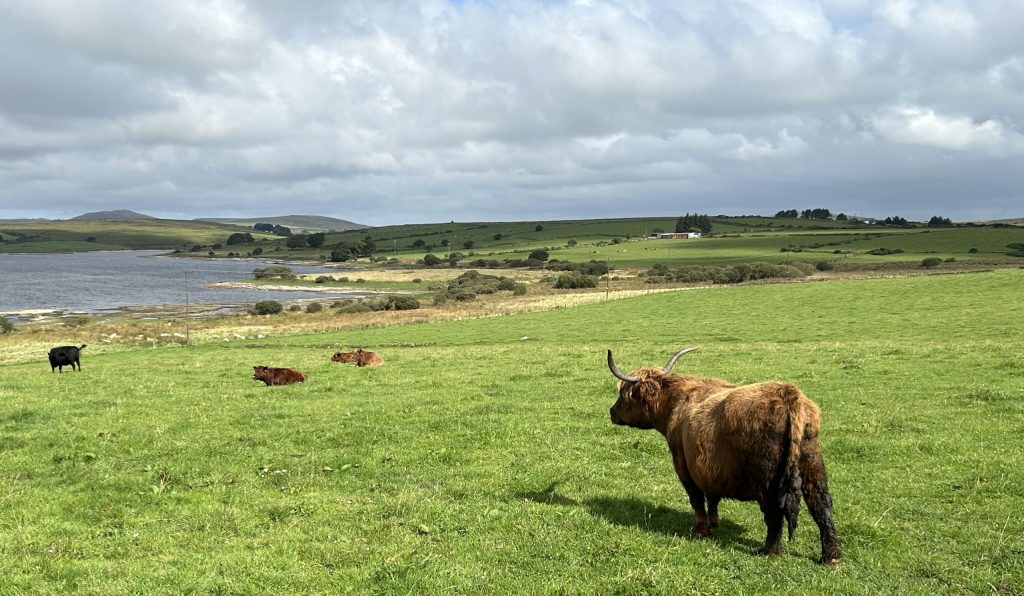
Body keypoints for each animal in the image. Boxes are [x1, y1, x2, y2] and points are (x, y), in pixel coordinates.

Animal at [606, 346, 839, 565]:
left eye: (623, 395)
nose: (611, 412)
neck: (676, 403)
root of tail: (789, 397)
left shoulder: (684, 466)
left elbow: (697, 499)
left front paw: (702, 530)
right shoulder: (709, 469)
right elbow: (712, 497)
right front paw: (714, 521)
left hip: (768, 478)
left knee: (774, 511)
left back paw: (769, 550)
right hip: (812, 464)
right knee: (822, 506)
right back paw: (831, 556)